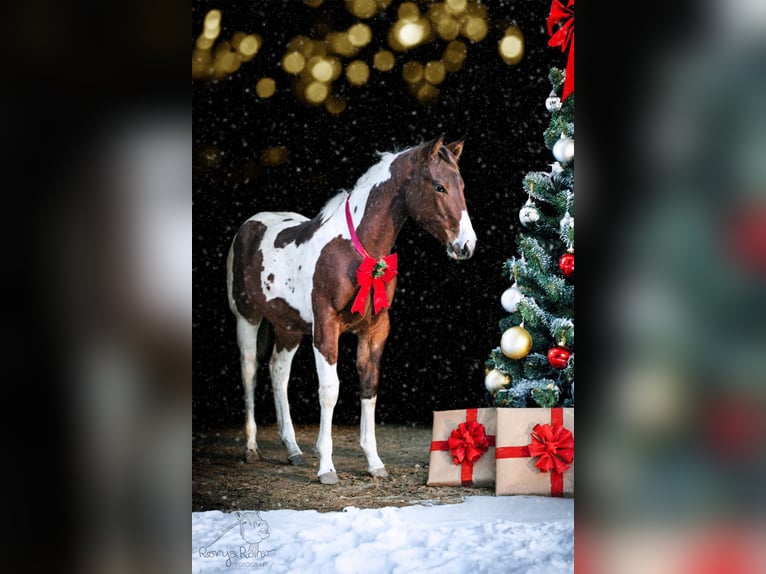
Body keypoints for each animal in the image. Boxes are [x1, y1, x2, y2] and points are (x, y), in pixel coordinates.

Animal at [228, 136, 476, 486]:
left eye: (462, 185)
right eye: (439, 186)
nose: (467, 245)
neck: (354, 251)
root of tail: (250, 226)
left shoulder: (375, 330)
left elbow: (369, 387)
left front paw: (374, 462)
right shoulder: (326, 328)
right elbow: (330, 391)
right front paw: (326, 467)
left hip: (289, 327)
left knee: (279, 373)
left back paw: (293, 450)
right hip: (247, 318)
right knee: (249, 372)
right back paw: (251, 448)